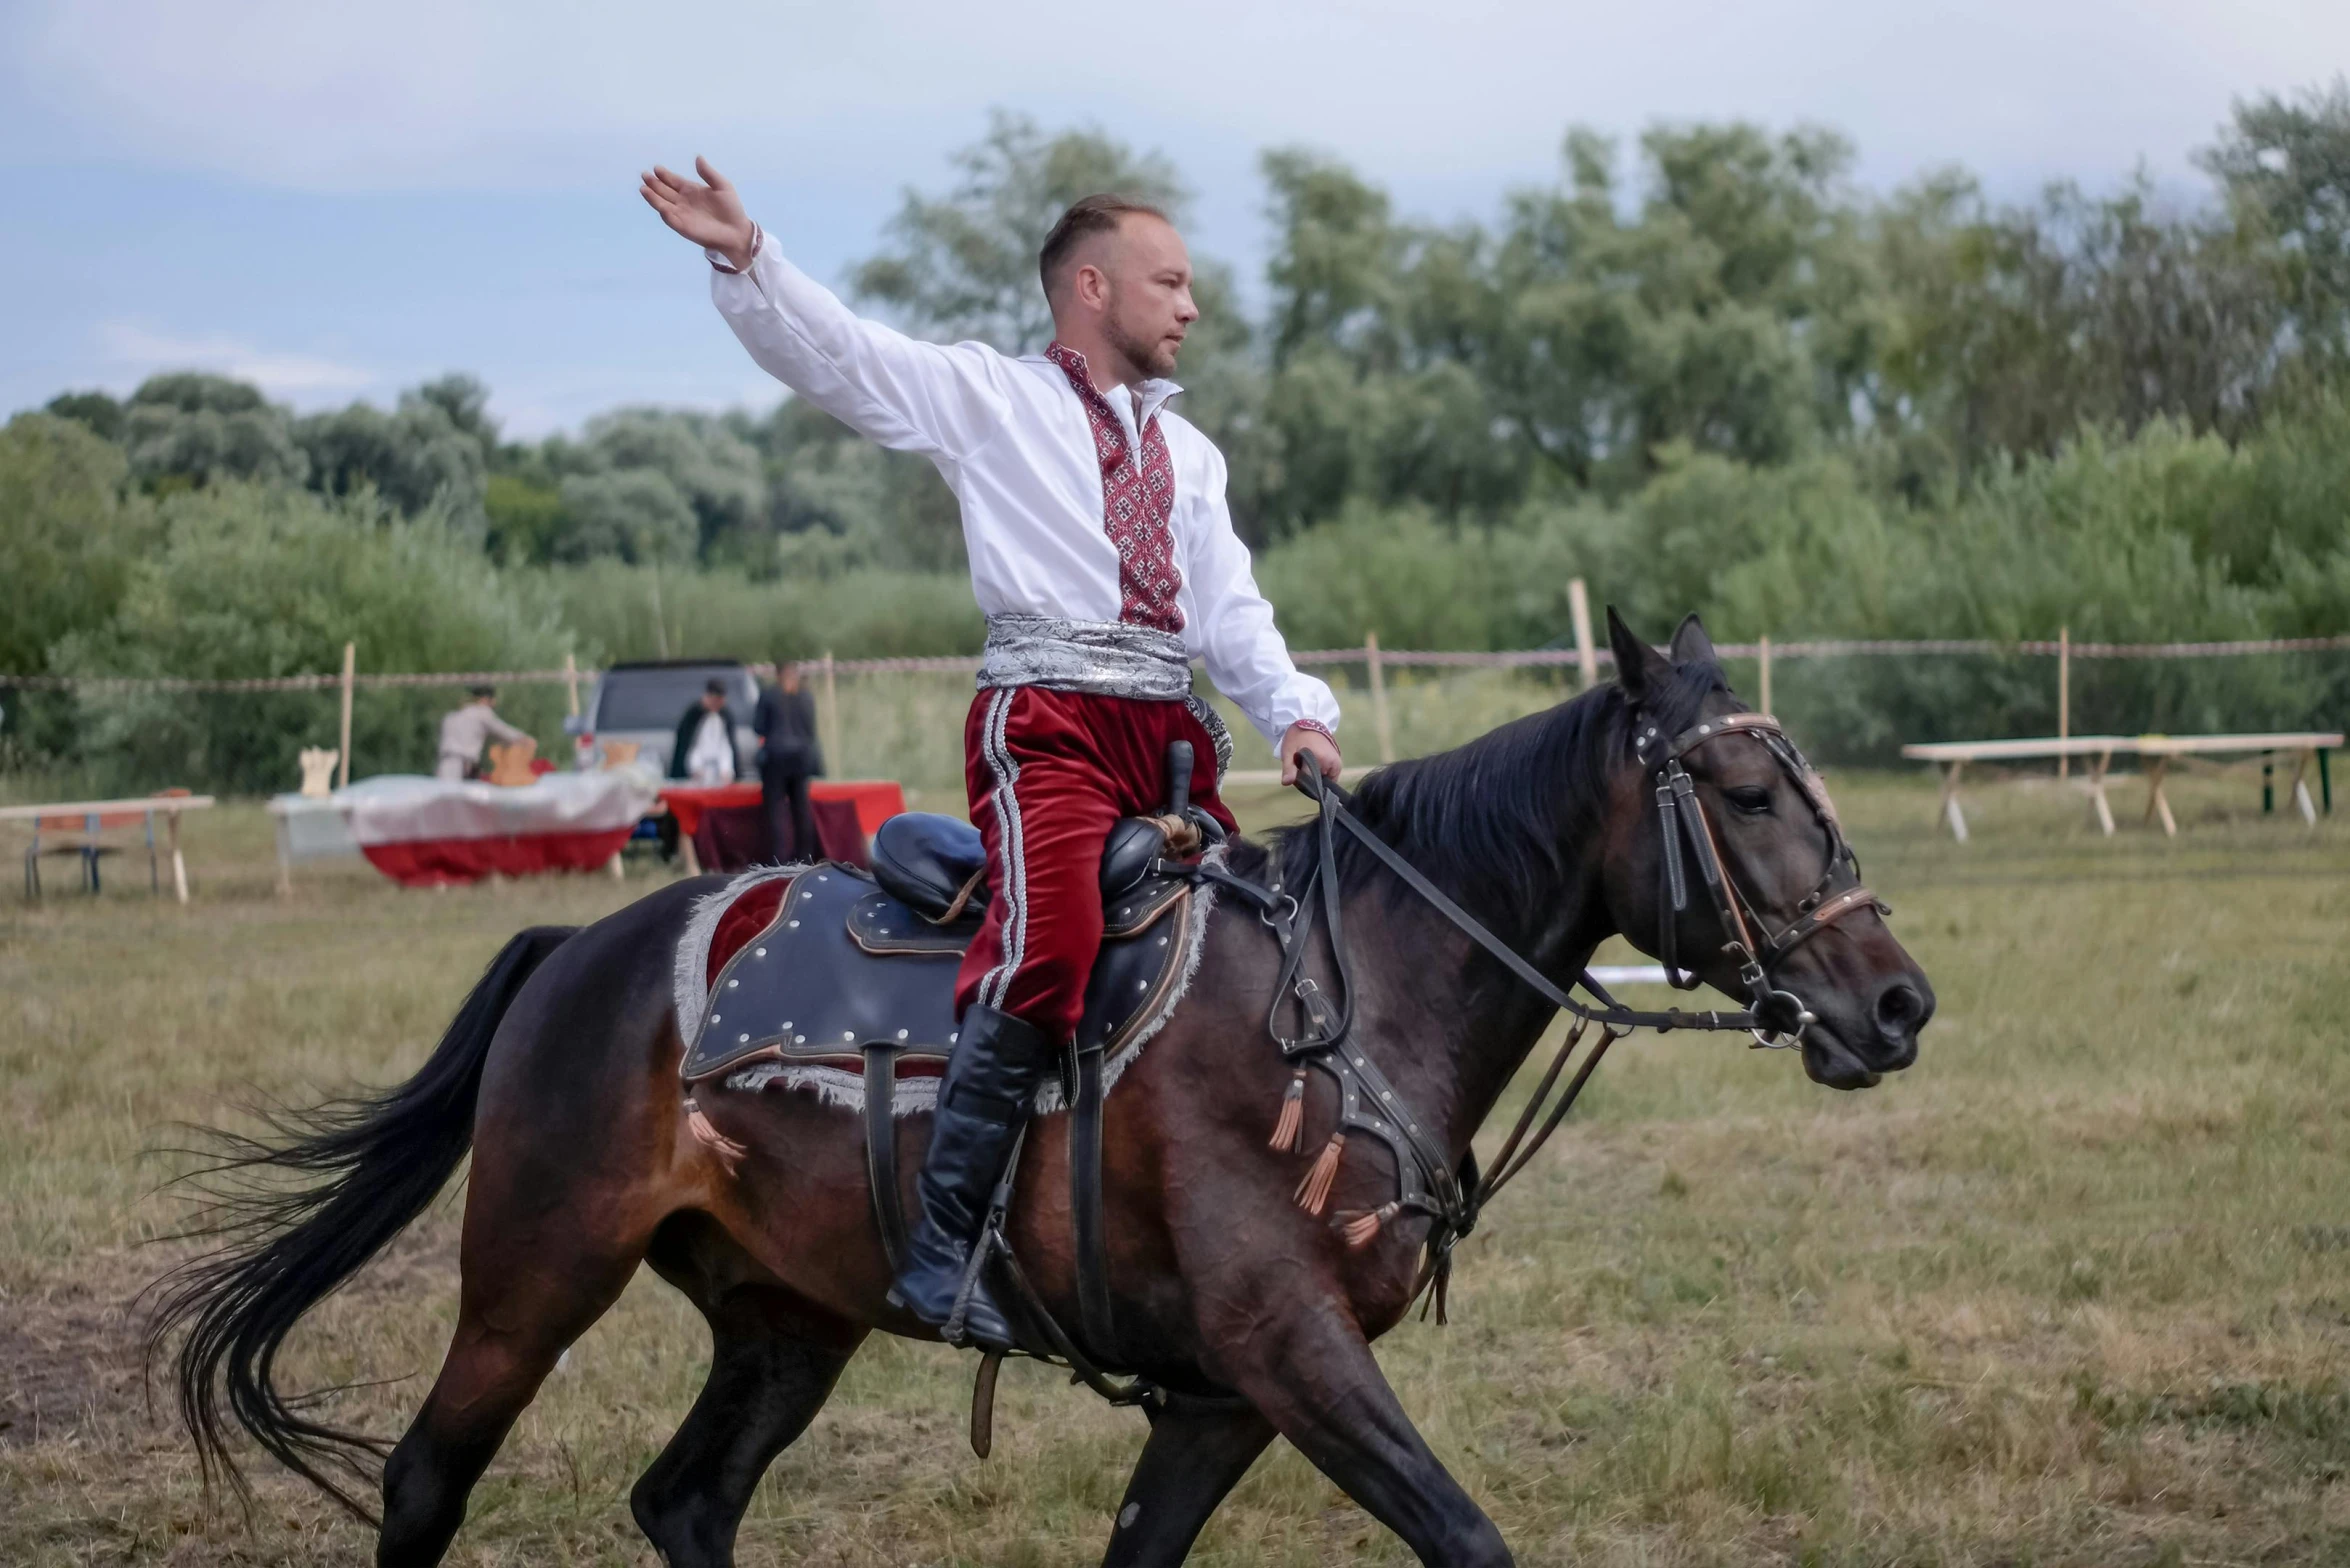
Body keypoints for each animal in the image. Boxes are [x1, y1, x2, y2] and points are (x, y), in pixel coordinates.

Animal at [156, 615, 1936, 1568]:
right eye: (1744, 789)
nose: (1896, 1003)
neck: (1348, 995)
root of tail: (577, 954)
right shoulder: (1289, 1355)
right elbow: (1467, 1536)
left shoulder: (1224, 1398)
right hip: (533, 1274)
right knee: (425, 1481)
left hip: (787, 1319)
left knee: (685, 1501)